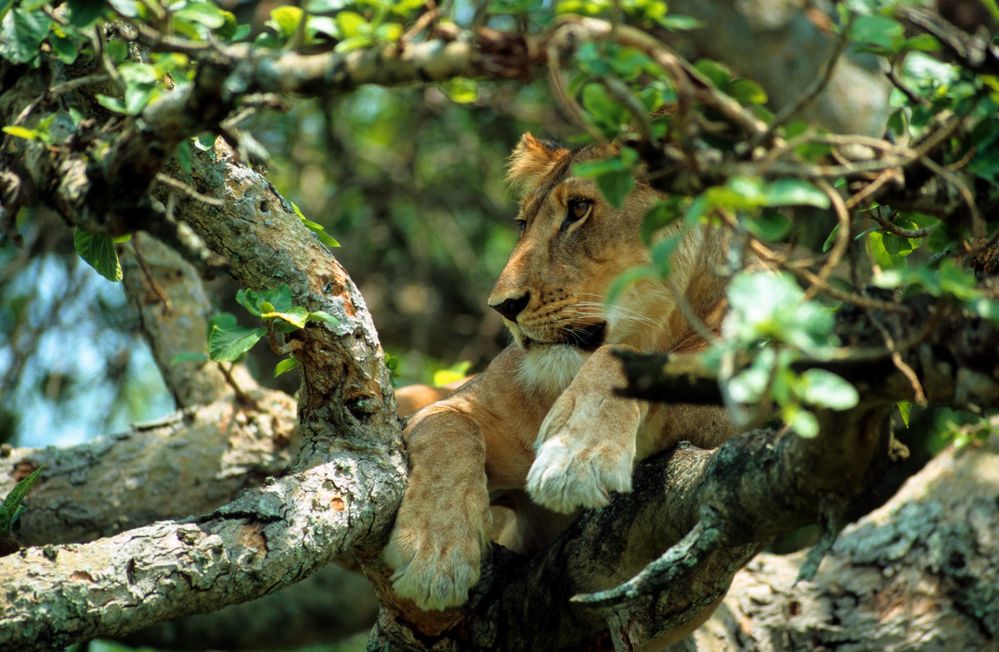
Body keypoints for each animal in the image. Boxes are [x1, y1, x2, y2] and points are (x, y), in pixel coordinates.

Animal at [382, 132, 736, 612]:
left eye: (579, 209)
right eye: (522, 224)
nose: (503, 306)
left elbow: (625, 359)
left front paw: (574, 456)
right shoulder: (460, 407)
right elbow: (448, 429)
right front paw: (434, 555)